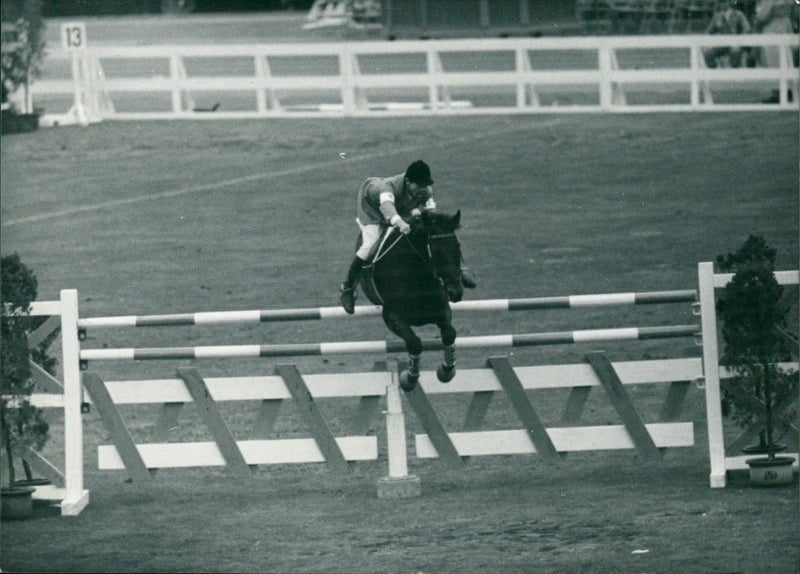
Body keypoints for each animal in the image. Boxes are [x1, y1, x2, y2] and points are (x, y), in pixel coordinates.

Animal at [360, 209, 466, 394]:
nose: (456, 292)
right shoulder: (392, 316)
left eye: (457, 248)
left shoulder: (442, 309)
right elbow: (414, 343)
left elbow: (449, 334)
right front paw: (408, 378)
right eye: (436, 252)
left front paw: (446, 370)